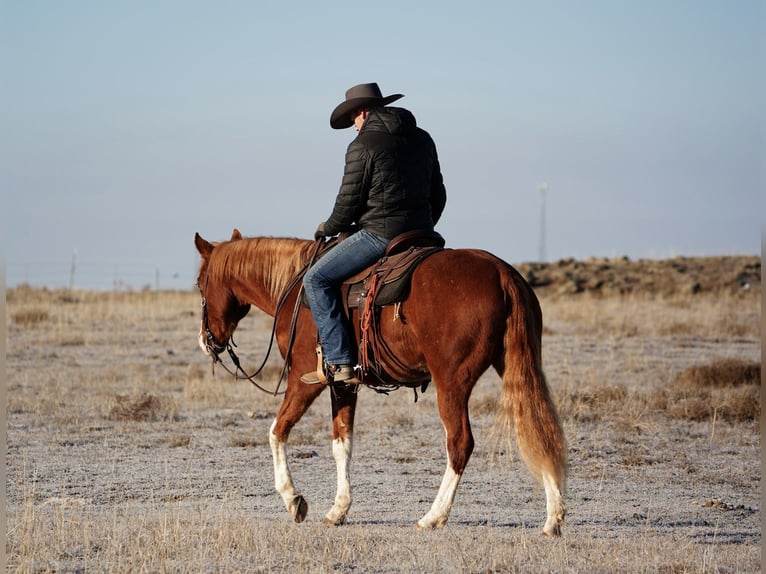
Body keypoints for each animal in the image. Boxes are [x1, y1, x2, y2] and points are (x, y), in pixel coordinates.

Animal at [194, 229, 567, 536]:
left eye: (199, 283)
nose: (206, 340)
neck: (296, 286)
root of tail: (502, 273)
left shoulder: (305, 379)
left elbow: (276, 431)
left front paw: (293, 499)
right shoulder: (343, 383)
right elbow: (341, 444)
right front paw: (338, 510)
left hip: (452, 381)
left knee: (461, 443)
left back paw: (433, 516)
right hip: (517, 365)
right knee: (538, 428)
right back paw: (553, 517)